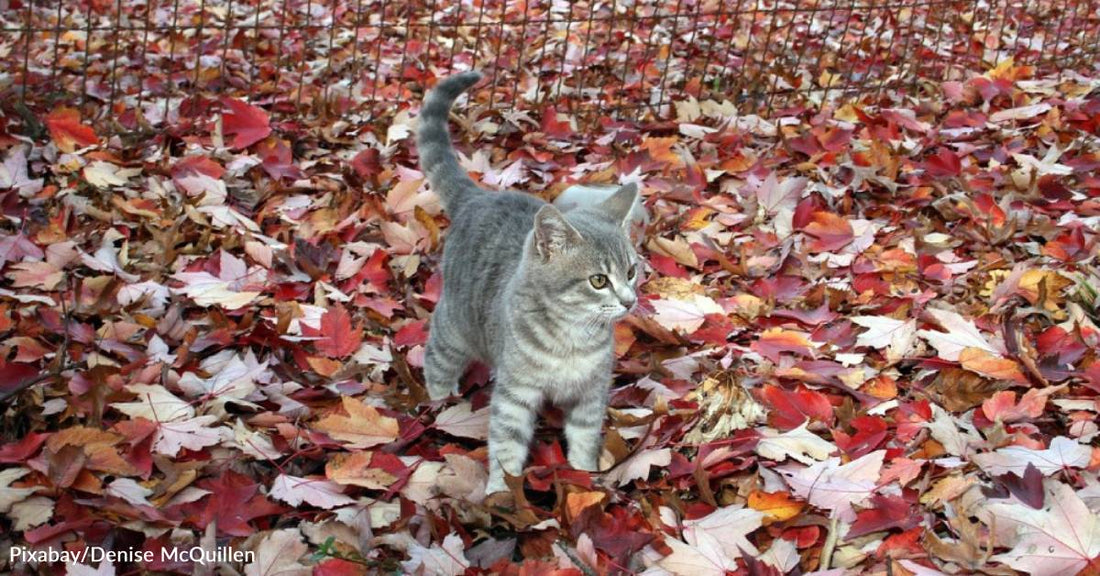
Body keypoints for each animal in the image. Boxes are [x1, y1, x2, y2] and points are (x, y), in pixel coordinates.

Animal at [415, 70, 642, 494]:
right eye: (598, 280)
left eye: (632, 271)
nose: (630, 301)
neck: (572, 339)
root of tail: (479, 197)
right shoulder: (515, 394)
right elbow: (506, 444)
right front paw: (499, 491)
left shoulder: (591, 393)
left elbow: (585, 437)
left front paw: (585, 476)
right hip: (455, 323)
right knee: (437, 354)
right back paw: (440, 398)